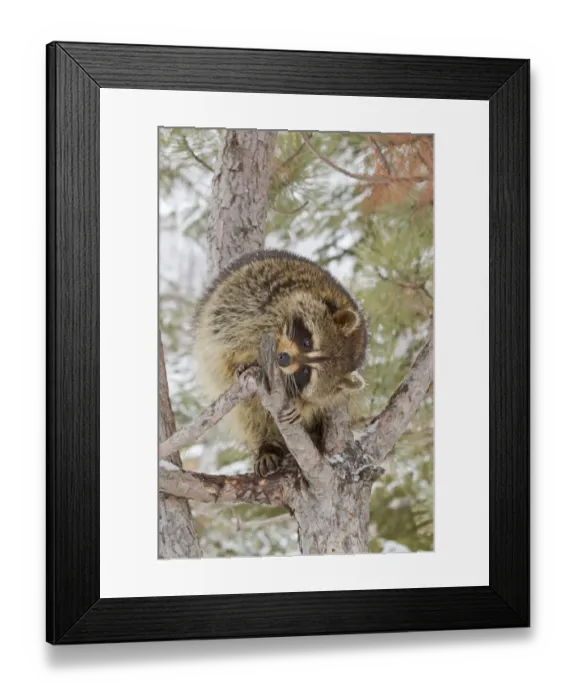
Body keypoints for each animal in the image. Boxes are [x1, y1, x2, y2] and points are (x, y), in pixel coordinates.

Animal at [192, 249, 368, 478]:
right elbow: (226, 347)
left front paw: (301, 405)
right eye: (307, 342)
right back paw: (266, 444)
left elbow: (321, 401)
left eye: (306, 372)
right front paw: (241, 364)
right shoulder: (254, 306)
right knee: (250, 415)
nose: (283, 358)